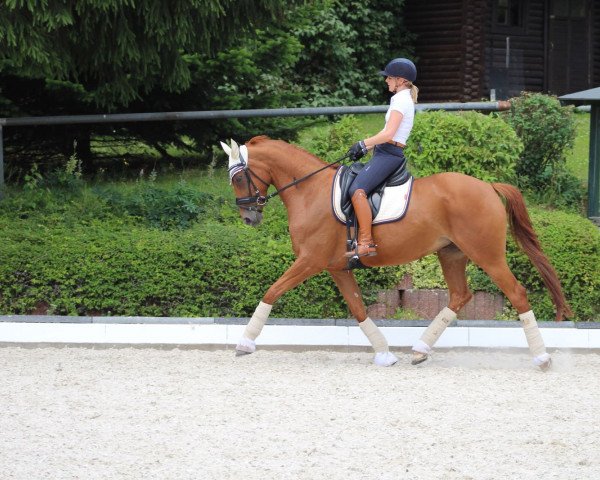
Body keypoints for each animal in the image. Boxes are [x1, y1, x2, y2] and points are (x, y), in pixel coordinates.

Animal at [220, 137, 572, 370]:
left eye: (237, 177)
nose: (249, 218)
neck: (310, 191)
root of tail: (488, 186)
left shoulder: (310, 260)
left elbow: (272, 291)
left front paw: (244, 343)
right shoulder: (337, 268)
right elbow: (359, 309)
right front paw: (384, 353)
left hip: (487, 255)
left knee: (516, 292)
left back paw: (541, 357)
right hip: (452, 254)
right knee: (459, 295)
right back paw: (420, 350)